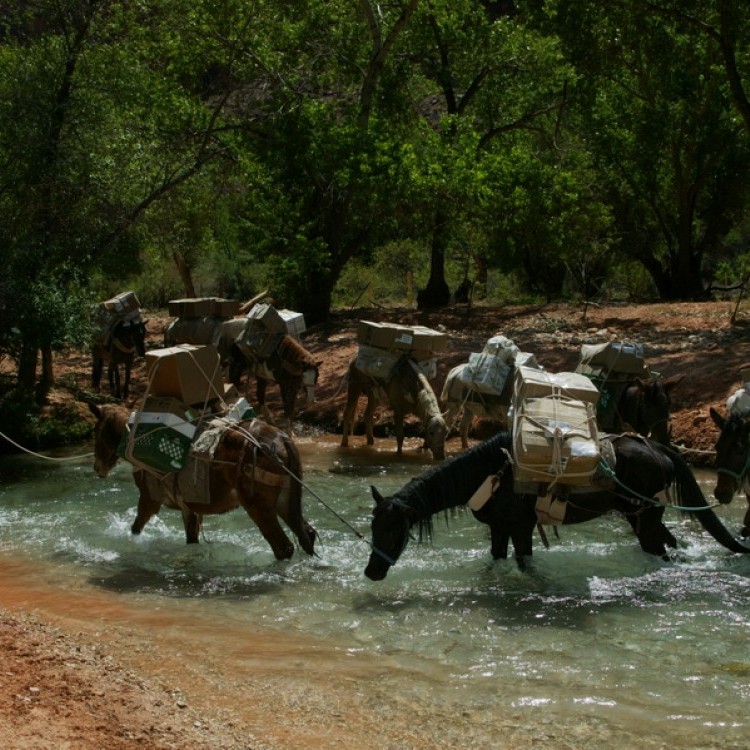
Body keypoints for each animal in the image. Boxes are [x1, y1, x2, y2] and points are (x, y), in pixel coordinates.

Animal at [368, 428, 750, 580]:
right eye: (373, 527)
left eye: (393, 530)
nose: (371, 572)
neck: (490, 471)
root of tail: (659, 448)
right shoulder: (498, 530)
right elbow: (496, 562)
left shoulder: (521, 529)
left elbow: (525, 564)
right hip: (642, 517)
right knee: (669, 545)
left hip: (646, 519)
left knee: (661, 550)